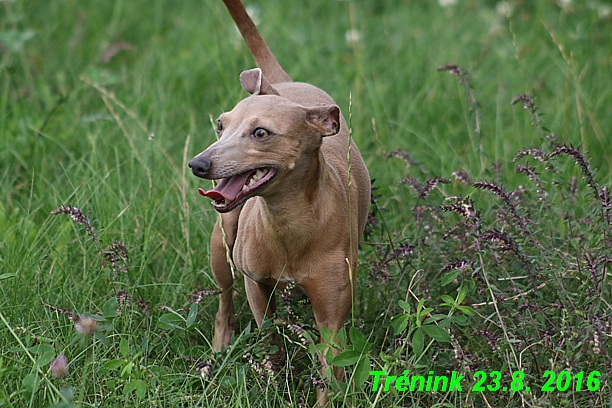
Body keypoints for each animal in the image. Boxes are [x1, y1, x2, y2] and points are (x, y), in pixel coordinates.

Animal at [186, 0, 368, 402]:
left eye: (260, 133)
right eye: (221, 125)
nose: (198, 164)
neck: (289, 222)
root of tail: (280, 83)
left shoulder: (332, 315)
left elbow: (329, 371)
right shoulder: (256, 286)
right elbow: (269, 340)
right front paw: (277, 383)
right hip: (221, 246)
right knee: (224, 302)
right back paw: (216, 355)